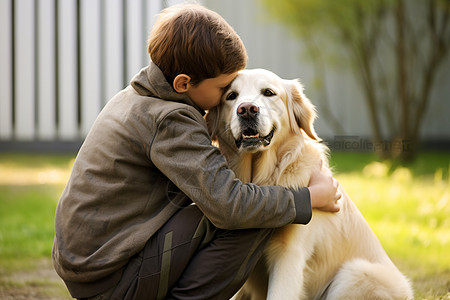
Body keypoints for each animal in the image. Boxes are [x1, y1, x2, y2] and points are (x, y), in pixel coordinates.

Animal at [206, 69, 414, 300]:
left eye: (268, 92)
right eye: (231, 96)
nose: (247, 110)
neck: (260, 178)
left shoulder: (289, 254)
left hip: (354, 273)